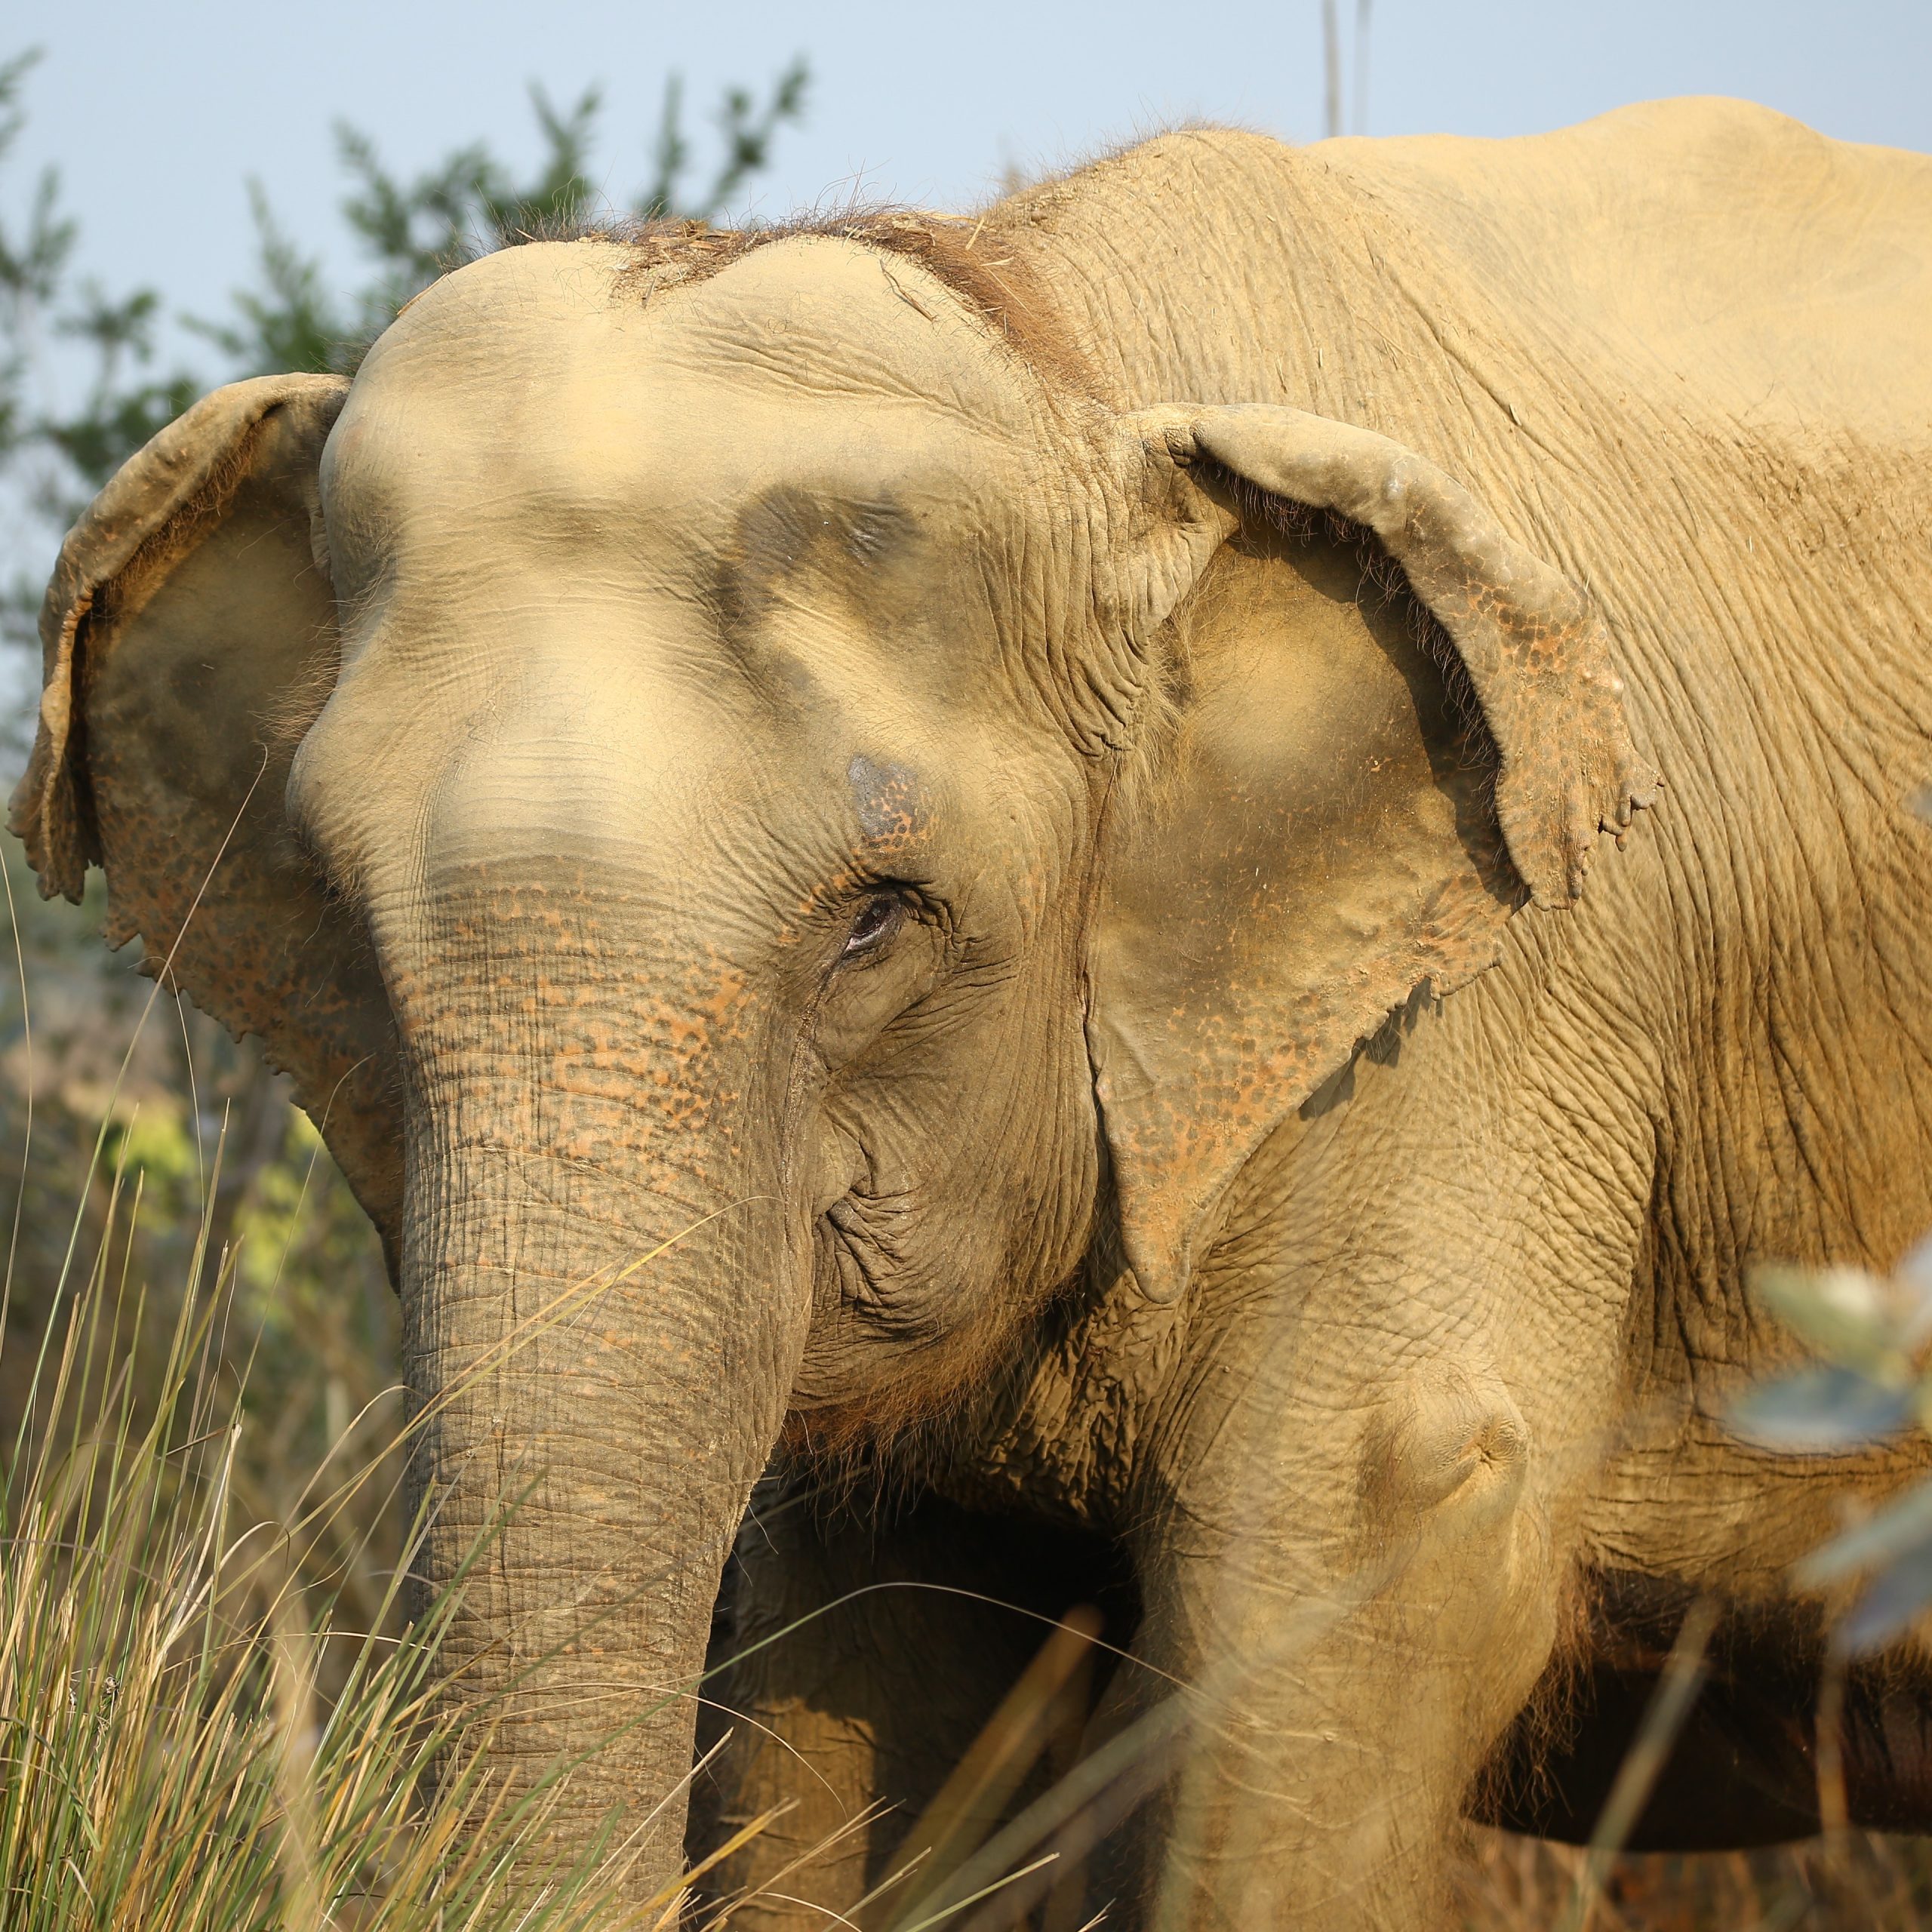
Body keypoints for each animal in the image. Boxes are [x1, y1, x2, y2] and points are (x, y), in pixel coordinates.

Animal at [14, 92, 1932, 1928]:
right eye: (341, 910)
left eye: (874, 925)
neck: (1063, 355)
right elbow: (851, 1656)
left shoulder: (1474, 1022)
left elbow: (1360, 1554)